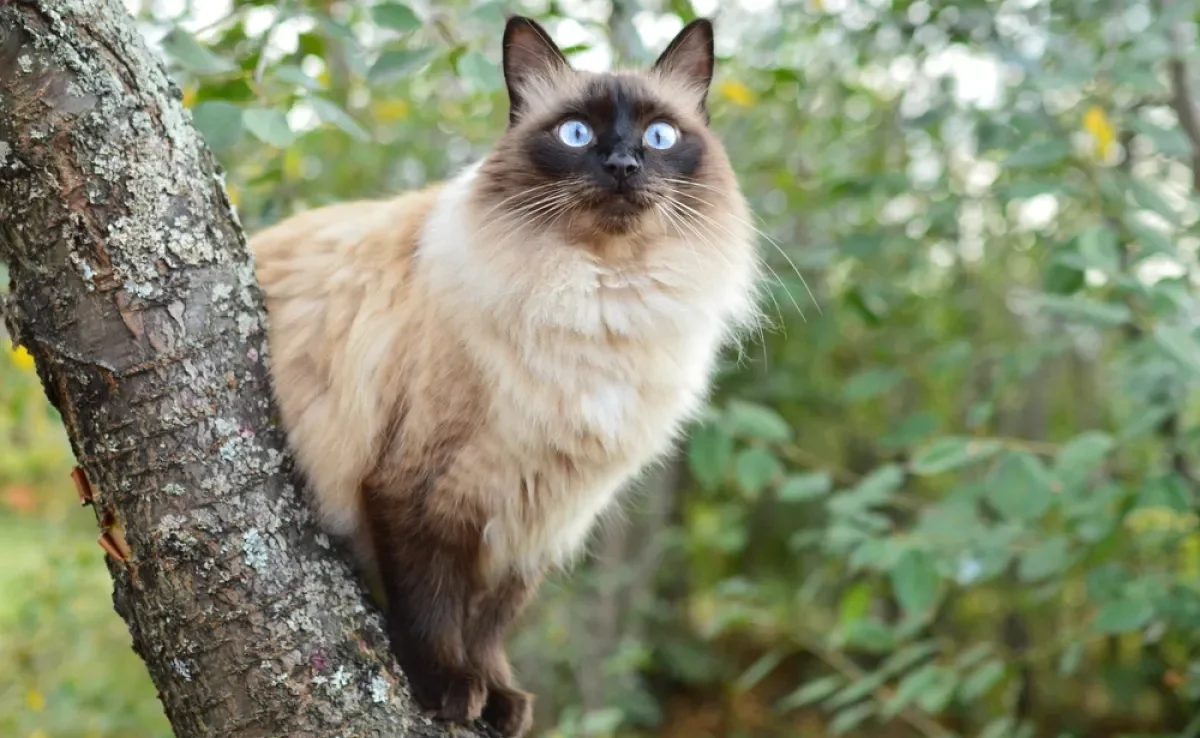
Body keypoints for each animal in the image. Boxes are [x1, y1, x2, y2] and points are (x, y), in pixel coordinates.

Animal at [249, 12, 763, 738]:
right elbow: (435, 608)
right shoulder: (420, 490)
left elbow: (492, 623)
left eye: (659, 136)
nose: (624, 164)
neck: (603, 302)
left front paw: (499, 698)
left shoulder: (537, 513)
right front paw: (451, 690)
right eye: (576, 134)